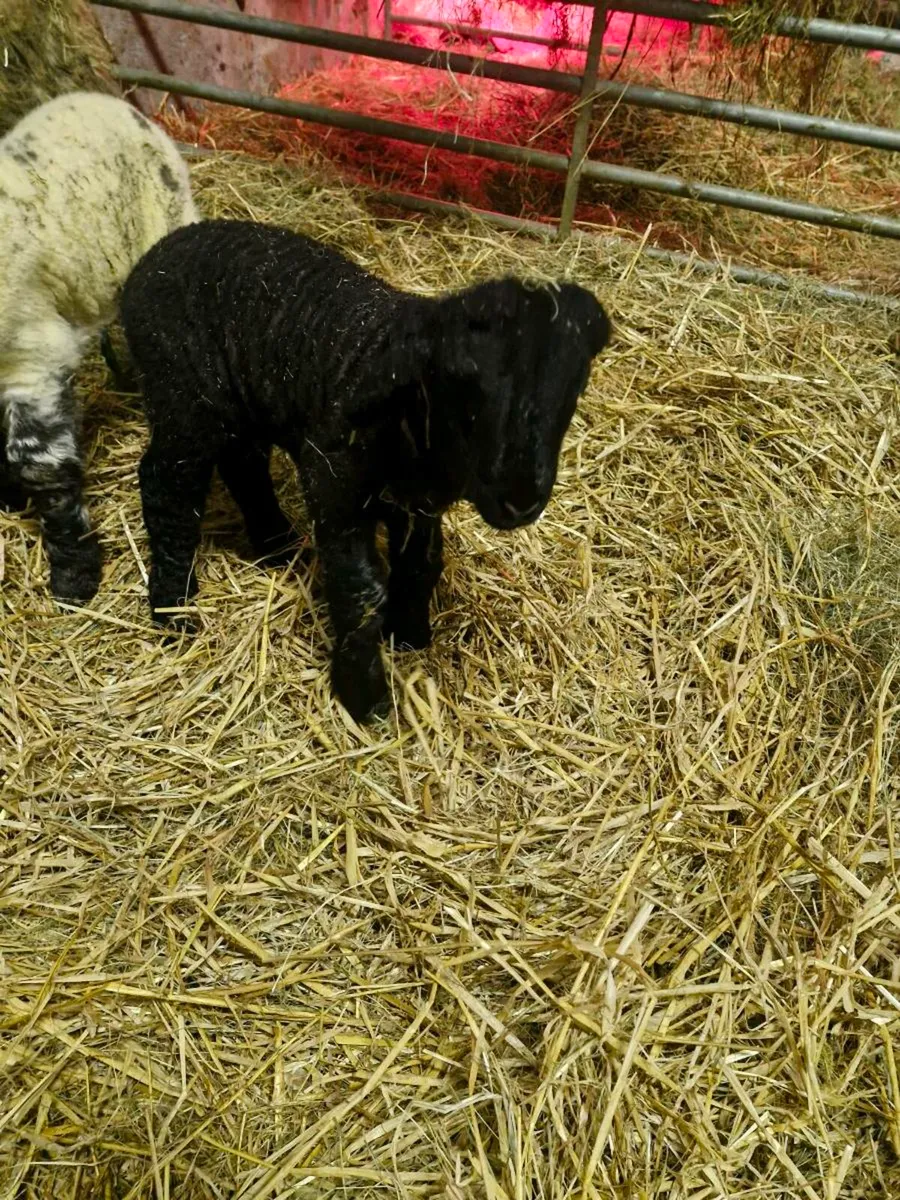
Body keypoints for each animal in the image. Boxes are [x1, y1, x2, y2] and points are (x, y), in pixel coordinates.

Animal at [120, 219, 611, 723]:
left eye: (573, 389)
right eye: (462, 383)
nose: (522, 500)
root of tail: (154, 256)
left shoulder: (417, 504)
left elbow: (422, 565)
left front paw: (411, 634)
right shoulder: (333, 487)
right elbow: (358, 591)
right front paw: (364, 695)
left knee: (243, 462)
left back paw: (275, 543)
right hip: (183, 395)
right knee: (167, 484)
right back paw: (173, 605)